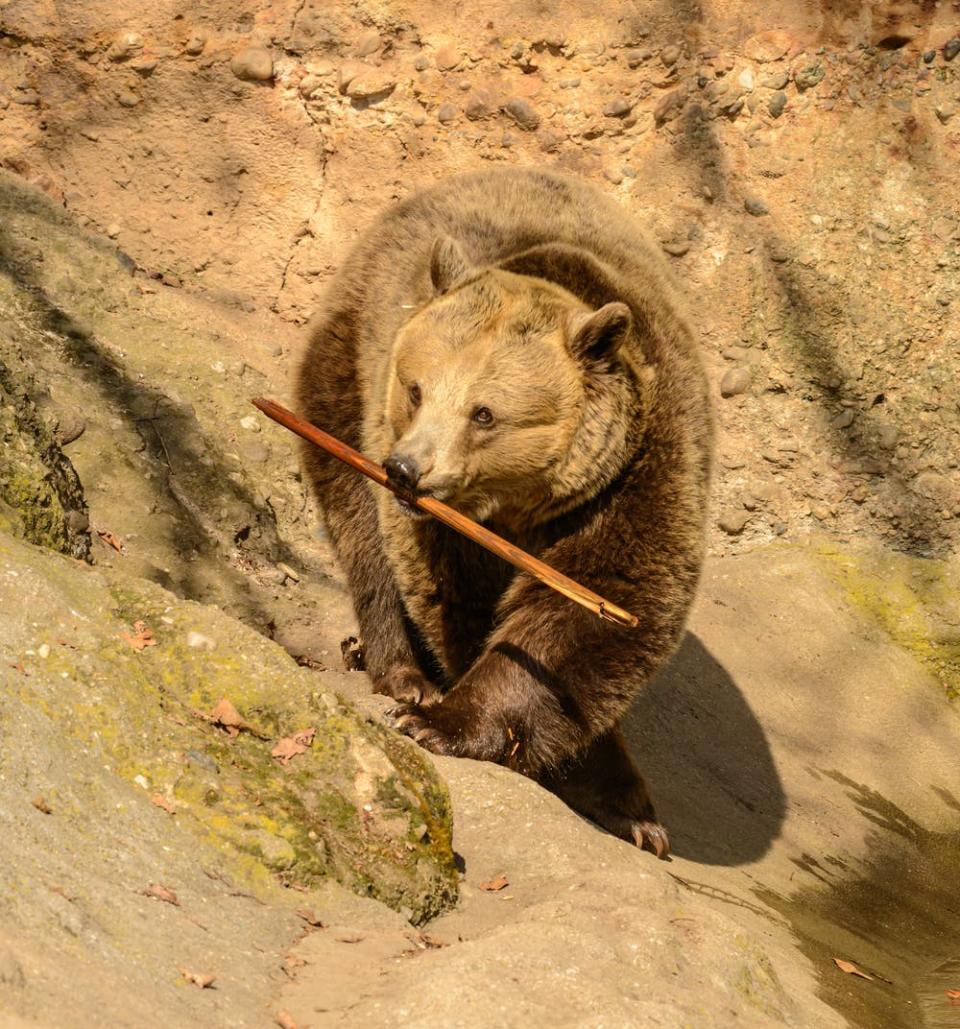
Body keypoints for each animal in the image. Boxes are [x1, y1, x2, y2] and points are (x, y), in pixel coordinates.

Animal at [298, 170, 712, 860]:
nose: (406, 470)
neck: (520, 503)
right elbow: (452, 594)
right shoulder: (437, 518)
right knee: (359, 526)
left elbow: (590, 612)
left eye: (484, 413)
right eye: (417, 388)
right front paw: (430, 711)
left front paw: (628, 807)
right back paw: (400, 671)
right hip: (347, 367)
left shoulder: (637, 474)